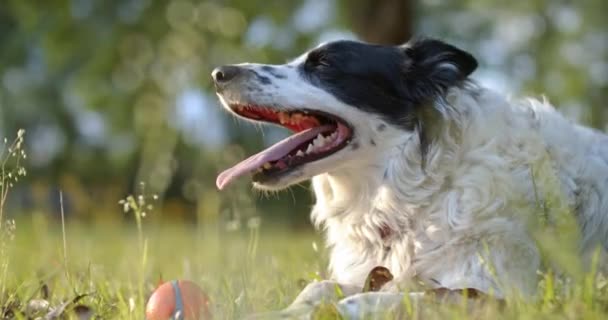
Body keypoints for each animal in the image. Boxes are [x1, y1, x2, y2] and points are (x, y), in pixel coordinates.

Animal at [210, 37, 608, 318]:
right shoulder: (374, 269)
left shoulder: (494, 292)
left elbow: (364, 302)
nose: (218, 74)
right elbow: (318, 288)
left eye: (324, 65)